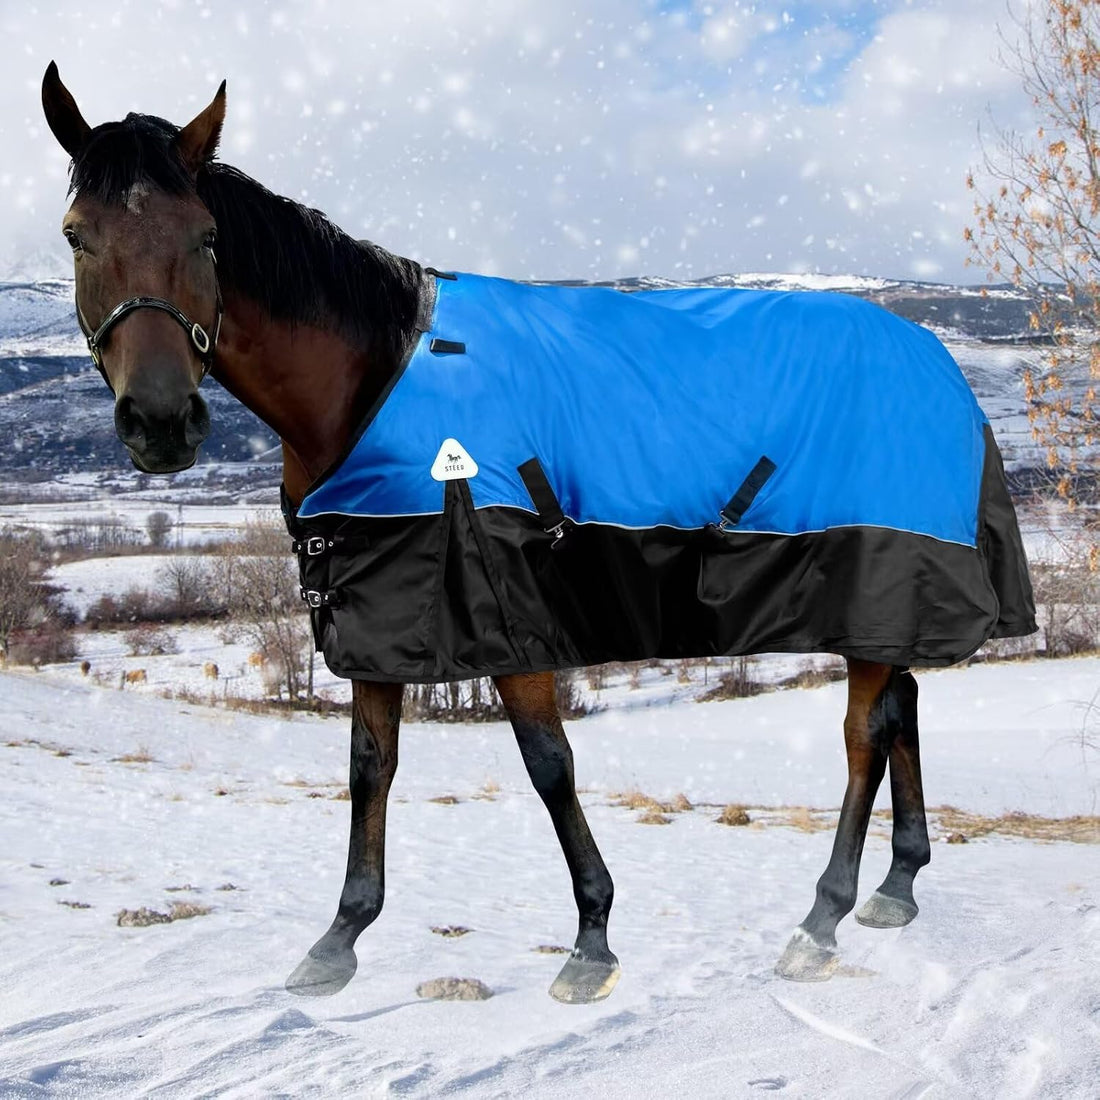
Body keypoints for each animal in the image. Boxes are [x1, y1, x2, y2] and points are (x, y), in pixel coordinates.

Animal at [42, 65, 1036, 1002]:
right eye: (77, 236)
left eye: (207, 237)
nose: (161, 423)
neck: (374, 378)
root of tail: (940, 366)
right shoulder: (377, 611)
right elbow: (371, 766)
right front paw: (339, 938)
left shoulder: (504, 608)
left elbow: (548, 764)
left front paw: (591, 941)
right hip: (888, 601)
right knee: (904, 706)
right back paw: (897, 887)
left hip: (879, 576)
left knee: (865, 733)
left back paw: (821, 918)